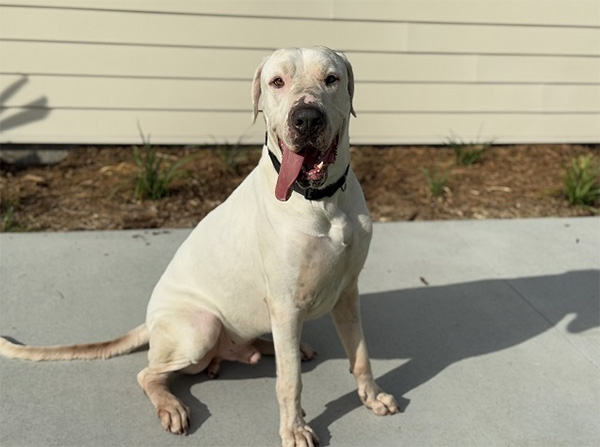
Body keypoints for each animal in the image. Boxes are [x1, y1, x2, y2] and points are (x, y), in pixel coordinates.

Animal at [1, 46, 398, 447]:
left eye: (331, 79)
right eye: (277, 82)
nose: (306, 119)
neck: (323, 201)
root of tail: (151, 320)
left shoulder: (347, 293)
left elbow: (360, 354)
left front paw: (372, 396)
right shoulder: (286, 305)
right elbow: (289, 382)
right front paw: (295, 428)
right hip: (200, 328)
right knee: (148, 373)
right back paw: (171, 405)